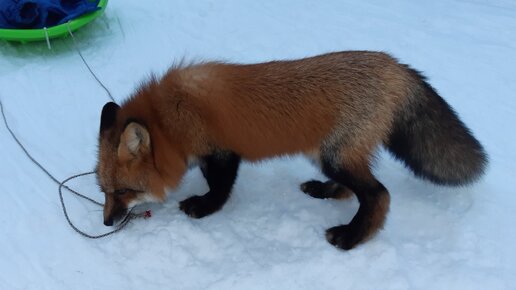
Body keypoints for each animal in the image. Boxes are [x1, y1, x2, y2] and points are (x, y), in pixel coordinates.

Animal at [97, 51, 488, 249]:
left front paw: (204, 207)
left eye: (124, 191)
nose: (106, 222)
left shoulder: (222, 152)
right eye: (104, 191)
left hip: (334, 156)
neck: (168, 118)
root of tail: (393, 63)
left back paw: (351, 237)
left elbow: (220, 188)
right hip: (332, 154)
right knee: (353, 188)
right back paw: (325, 191)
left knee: (379, 195)